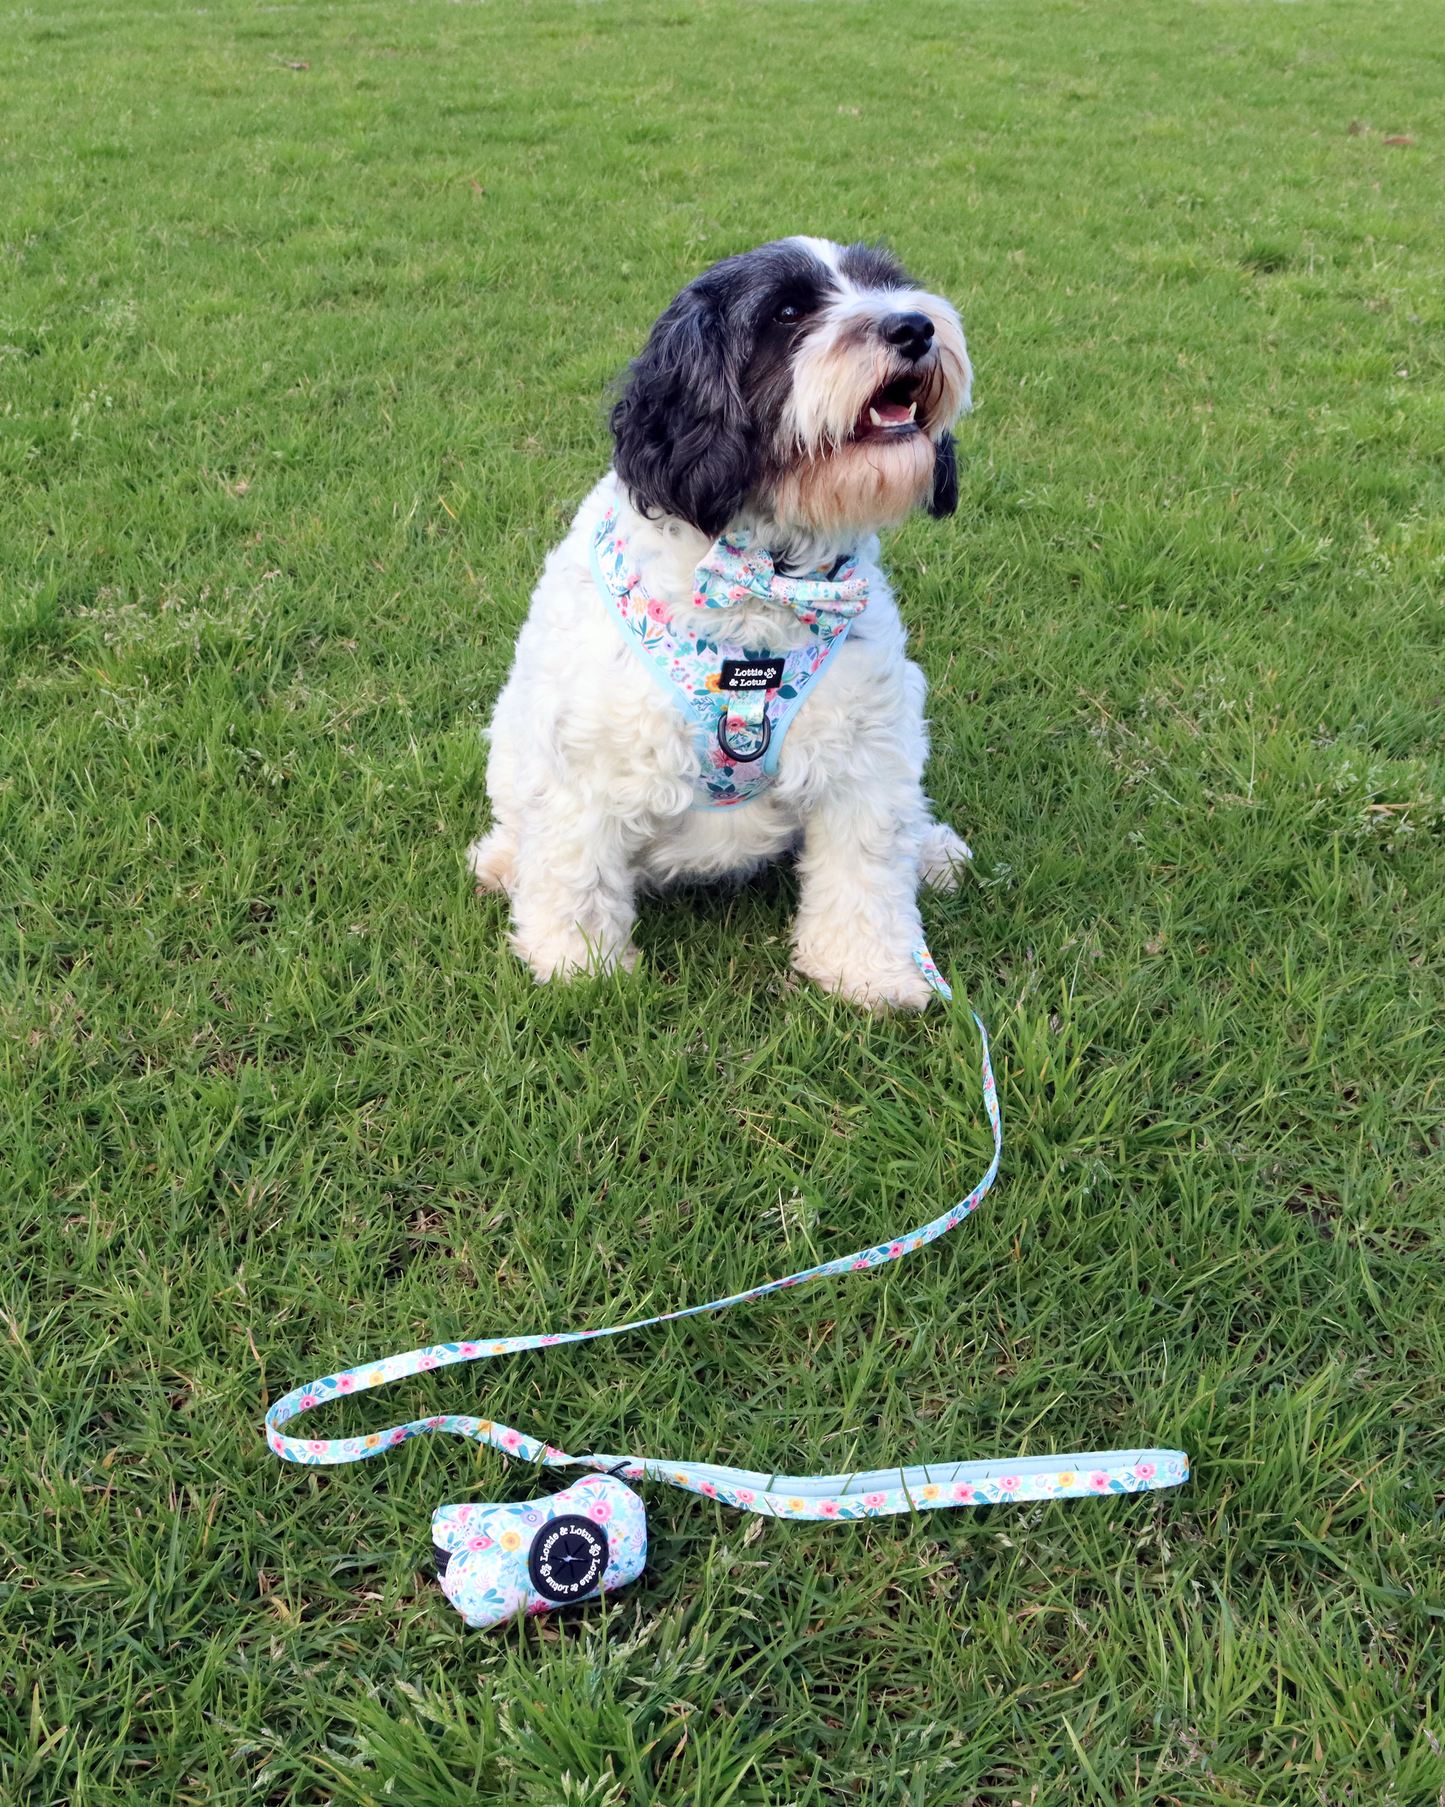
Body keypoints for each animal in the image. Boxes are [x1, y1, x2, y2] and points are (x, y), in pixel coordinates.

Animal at [469, 233, 975, 1011]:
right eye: (788, 311)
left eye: (888, 285)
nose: (914, 326)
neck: (763, 579)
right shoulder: (585, 761)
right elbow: (576, 873)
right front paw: (579, 970)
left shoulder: (864, 756)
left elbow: (865, 872)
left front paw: (870, 973)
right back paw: (500, 861)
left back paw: (932, 850)